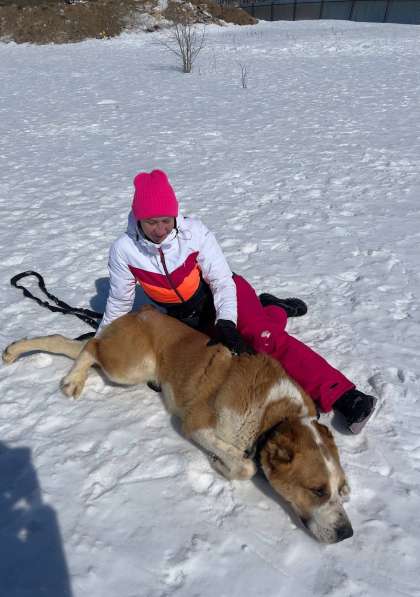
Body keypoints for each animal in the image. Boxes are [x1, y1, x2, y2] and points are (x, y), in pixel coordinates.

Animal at [1, 304, 352, 544]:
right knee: (90, 347)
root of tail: (140, 312)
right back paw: (73, 379)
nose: (347, 533)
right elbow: (245, 466)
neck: (275, 415)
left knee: (68, 342)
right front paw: (221, 463)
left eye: (338, 489)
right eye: (317, 490)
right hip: (132, 366)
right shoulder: (195, 424)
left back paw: (18, 351)